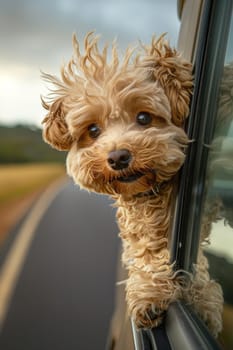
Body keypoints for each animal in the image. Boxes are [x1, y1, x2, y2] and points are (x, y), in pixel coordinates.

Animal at [41, 32, 224, 336]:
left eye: (144, 117)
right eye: (93, 130)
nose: (118, 157)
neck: (154, 194)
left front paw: (197, 297)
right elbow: (150, 251)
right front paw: (152, 290)